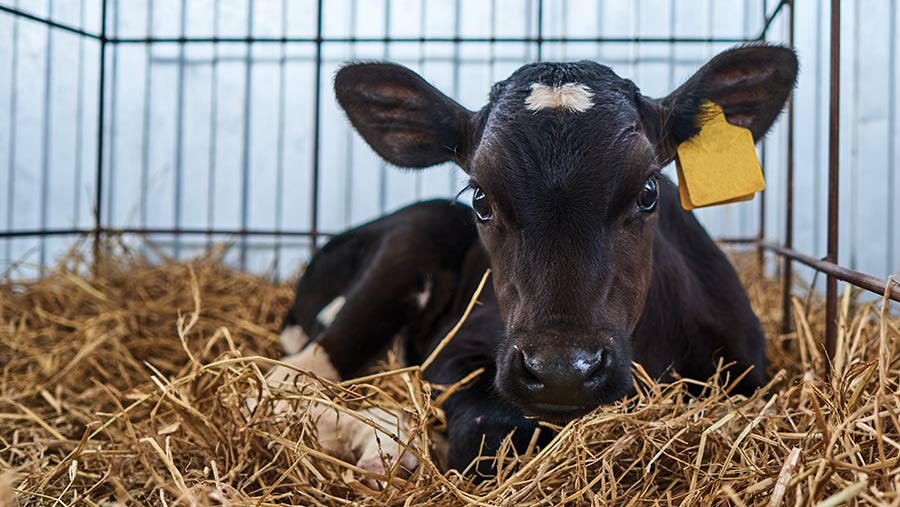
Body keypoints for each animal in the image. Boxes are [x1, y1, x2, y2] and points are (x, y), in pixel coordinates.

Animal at [266, 42, 796, 480]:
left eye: (648, 192)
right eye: (481, 198)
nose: (563, 370)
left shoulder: (750, 374)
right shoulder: (457, 351)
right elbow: (485, 435)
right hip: (410, 241)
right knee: (285, 381)